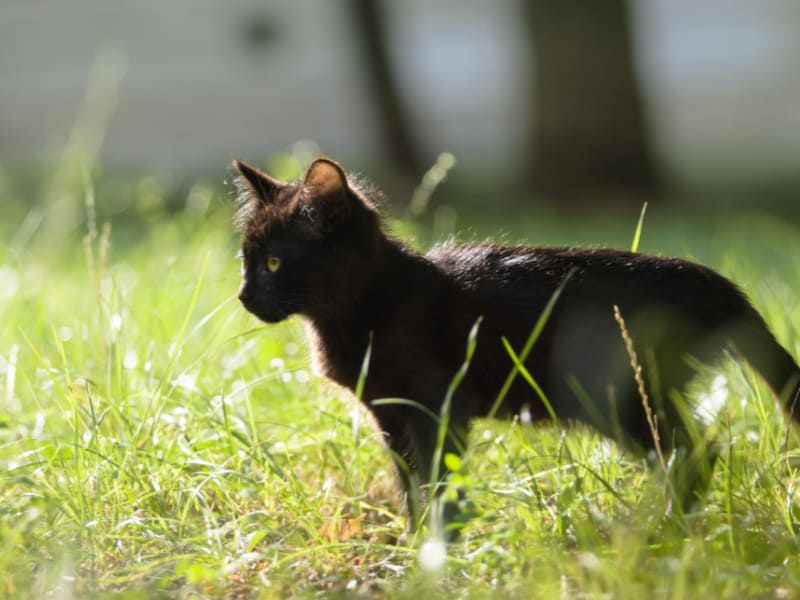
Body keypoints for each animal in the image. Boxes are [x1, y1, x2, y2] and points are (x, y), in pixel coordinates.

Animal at [231, 158, 800, 528]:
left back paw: (663, 529)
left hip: (620, 396)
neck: (365, 307)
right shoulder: (389, 413)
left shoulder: (439, 408)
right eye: (245, 260)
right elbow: (408, 483)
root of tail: (721, 286)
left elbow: (438, 482)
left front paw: (440, 546)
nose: (242, 296)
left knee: (696, 454)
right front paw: (413, 545)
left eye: (275, 262)